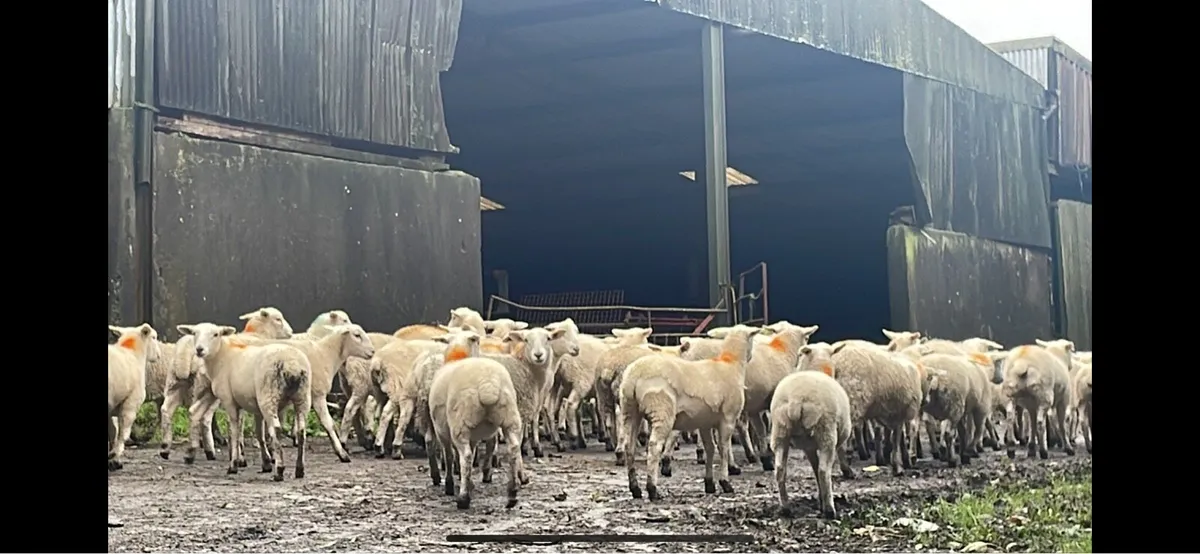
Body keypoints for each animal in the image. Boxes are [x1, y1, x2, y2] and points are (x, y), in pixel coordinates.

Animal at [108, 324, 163, 471]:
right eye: (154, 337)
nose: (159, 355)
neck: (133, 352)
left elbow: (113, 431)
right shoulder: (131, 403)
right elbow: (123, 432)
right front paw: (114, 456)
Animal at [178, 322, 312, 480]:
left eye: (216, 334)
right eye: (194, 333)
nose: (199, 350)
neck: (221, 356)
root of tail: (292, 364)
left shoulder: (229, 400)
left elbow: (235, 432)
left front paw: (233, 465)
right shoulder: (253, 405)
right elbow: (259, 434)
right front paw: (265, 463)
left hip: (269, 396)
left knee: (276, 429)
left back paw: (279, 471)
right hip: (302, 397)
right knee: (301, 431)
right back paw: (299, 469)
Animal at [428, 329, 525, 510]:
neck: (457, 357)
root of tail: (488, 384)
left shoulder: (442, 430)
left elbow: (449, 455)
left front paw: (450, 485)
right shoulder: (473, 435)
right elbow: (472, 453)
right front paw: (470, 483)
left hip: (460, 423)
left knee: (464, 456)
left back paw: (463, 499)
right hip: (510, 418)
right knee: (514, 448)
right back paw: (512, 494)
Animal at [619, 324, 762, 500]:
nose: (751, 357)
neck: (730, 364)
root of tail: (635, 375)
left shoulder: (705, 422)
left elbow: (710, 448)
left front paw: (709, 483)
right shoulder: (728, 417)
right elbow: (723, 448)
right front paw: (725, 482)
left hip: (629, 409)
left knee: (629, 446)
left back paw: (635, 489)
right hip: (661, 409)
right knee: (654, 447)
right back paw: (652, 489)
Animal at [769, 369, 853, 519]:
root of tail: (795, 399)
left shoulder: (808, 447)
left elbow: (814, 467)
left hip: (780, 431)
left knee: (780, 470)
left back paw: (785, 508)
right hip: (826, 432)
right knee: (824, 471)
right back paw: (830, 510)